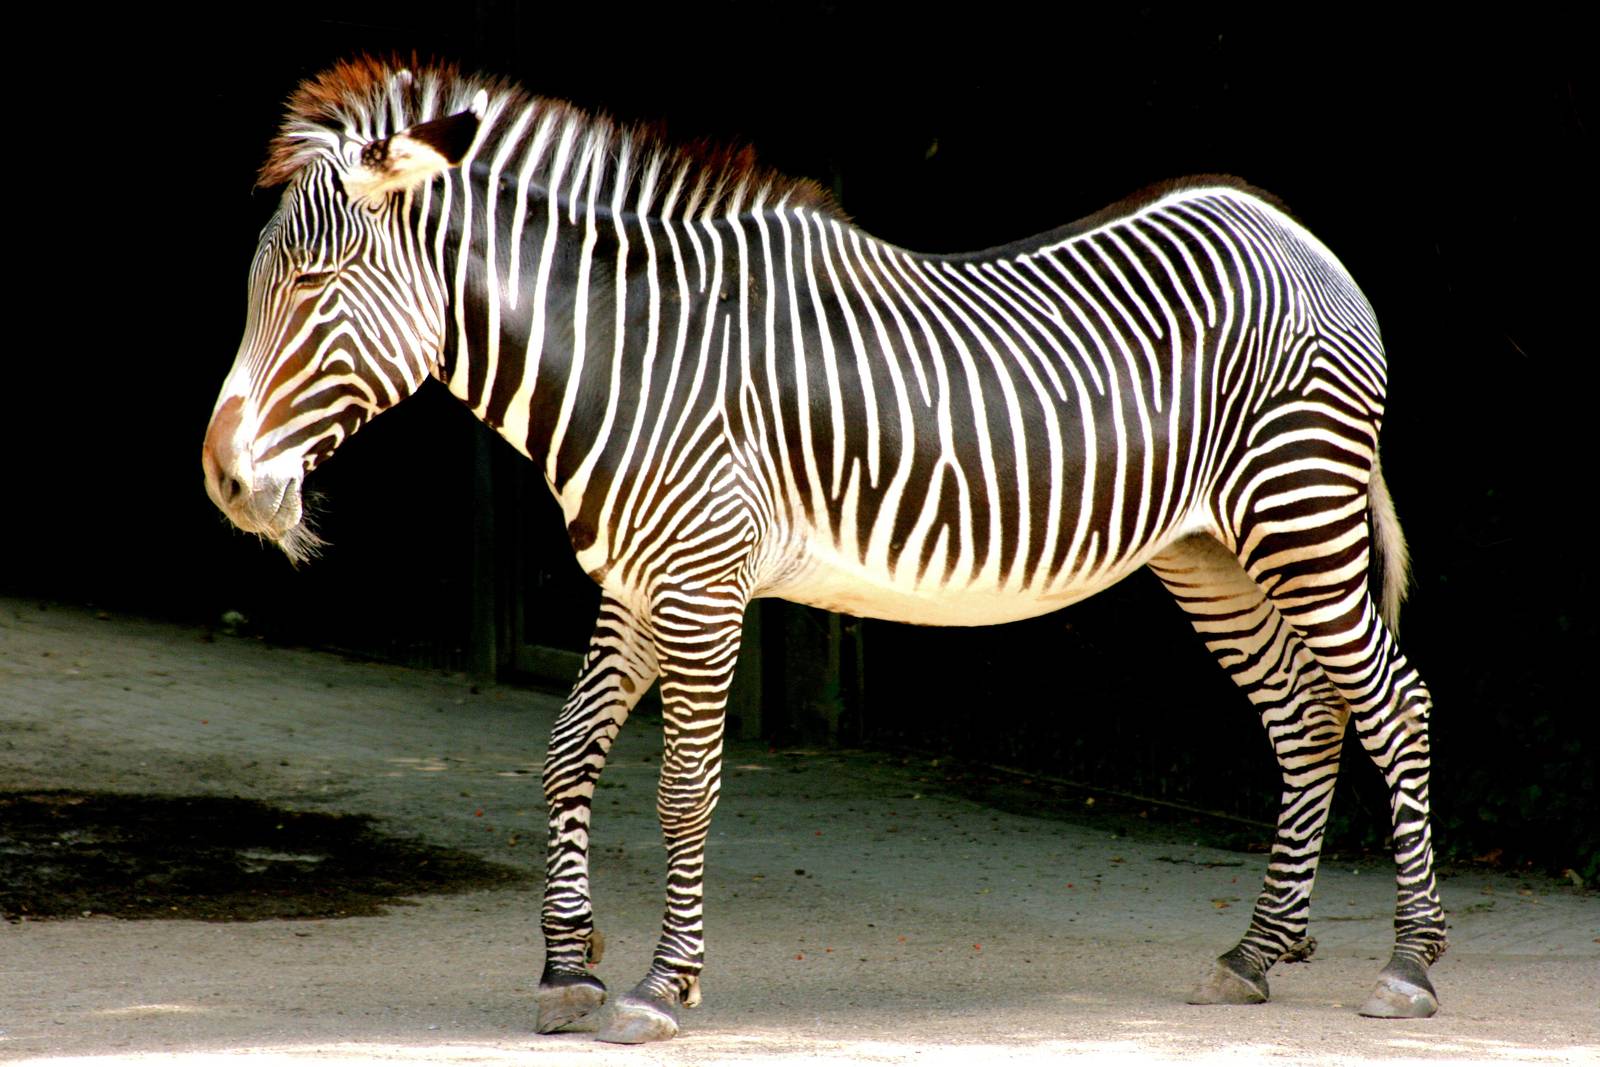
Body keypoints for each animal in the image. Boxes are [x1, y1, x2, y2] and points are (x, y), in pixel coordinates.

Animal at [202, 57, 1447, 1043]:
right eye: (262, 283)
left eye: (311, 283)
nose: (224, 481)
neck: (631, 354)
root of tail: (1291, 230)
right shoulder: (634, 586)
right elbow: (564, 754)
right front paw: (565, 967)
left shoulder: (702, 583)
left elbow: (686, 786)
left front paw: (661, 984)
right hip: (1210, 551)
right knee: (1305, 716)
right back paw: (1256, 952)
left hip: (1299, 509)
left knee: (1393, 703)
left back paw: (1410, 965)